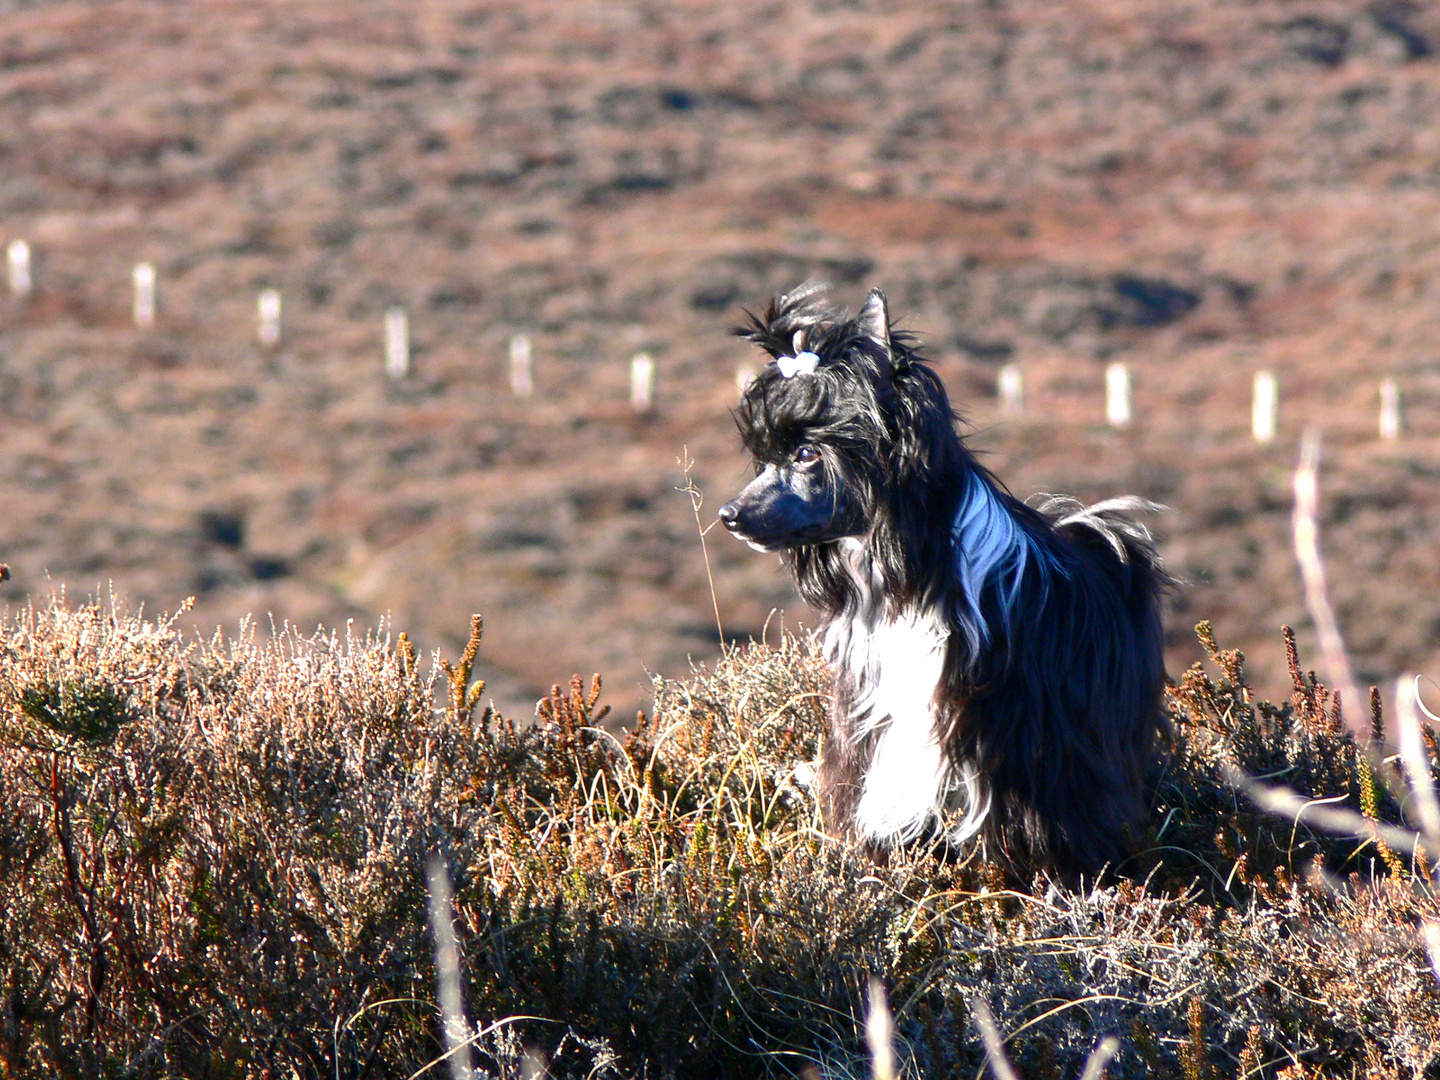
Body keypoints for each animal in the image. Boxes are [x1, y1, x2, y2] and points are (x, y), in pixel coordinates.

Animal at [720, 283, 1169, 875]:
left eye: (808, 452)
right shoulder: (868, 716)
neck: (909, 578)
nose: (729, 515)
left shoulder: (1021, 741)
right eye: (765, 455)